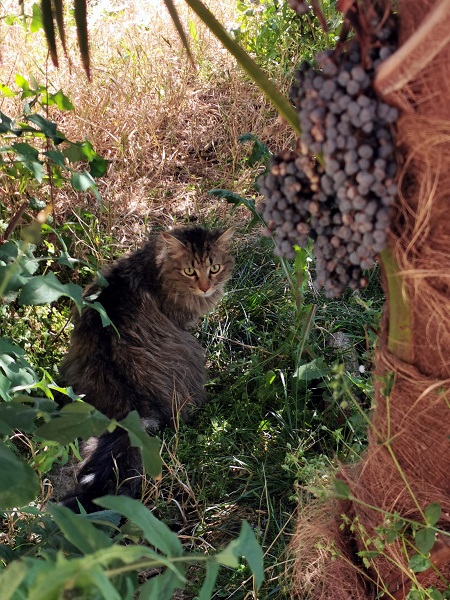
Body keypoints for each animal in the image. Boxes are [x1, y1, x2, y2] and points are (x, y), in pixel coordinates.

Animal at [57, 225, 234, 510]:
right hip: (192, 353)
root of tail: (130, 403)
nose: (206, 287)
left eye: (215, 268)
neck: (154, 266)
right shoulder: (181, 322)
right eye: (190, 271)